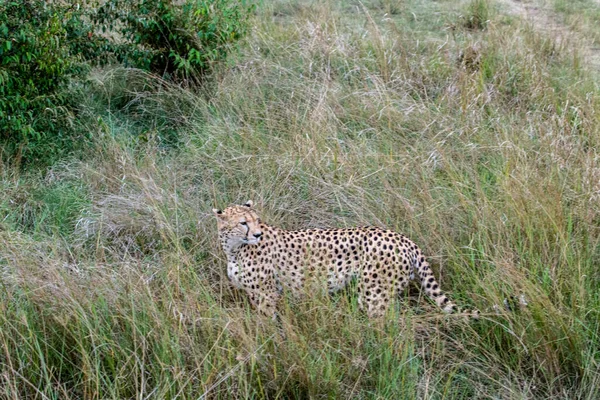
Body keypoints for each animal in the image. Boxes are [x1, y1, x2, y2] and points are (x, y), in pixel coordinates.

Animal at [213, 202, 480, 320]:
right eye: (243, 222)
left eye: (257, 220)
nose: (257, 234)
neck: (234, 249)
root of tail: (403, 237)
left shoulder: (265, 294)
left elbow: (266, 323)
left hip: (373, 293)